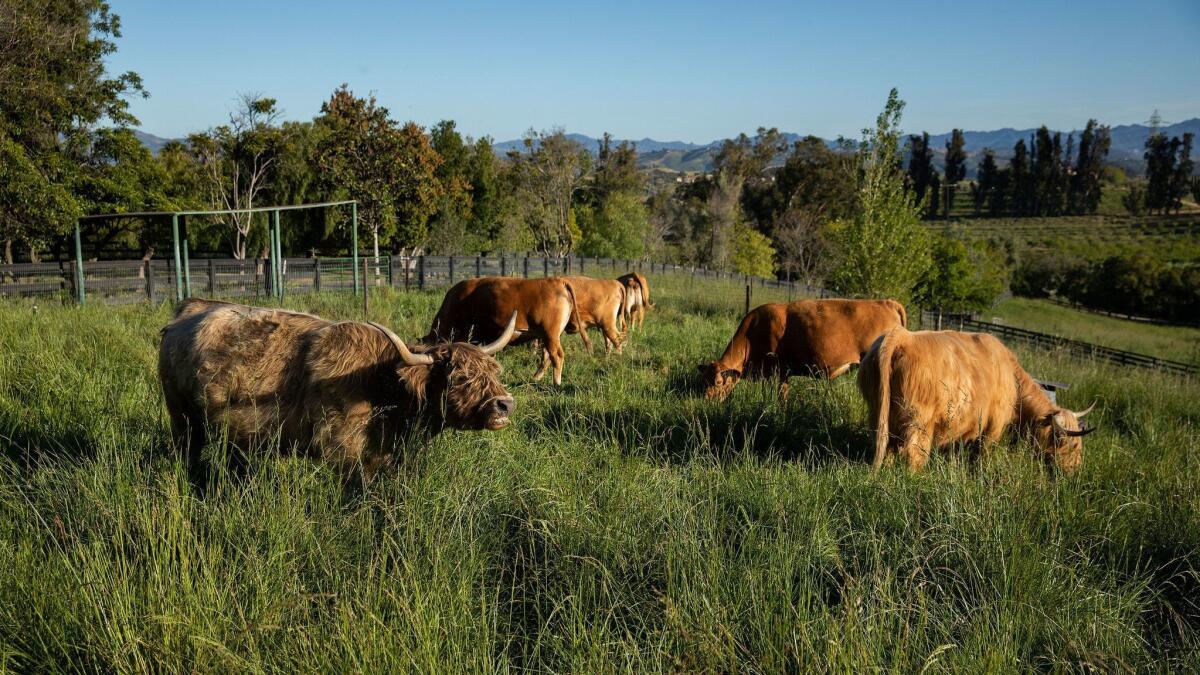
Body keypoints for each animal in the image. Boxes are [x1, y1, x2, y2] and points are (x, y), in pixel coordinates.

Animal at [159, 295, 516, 478]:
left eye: (494, 371)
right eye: (459, 376)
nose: (505, 404)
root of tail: (193, 307)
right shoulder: (343, 454)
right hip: (183, 420)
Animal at [427, 276, 585, 384]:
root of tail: (557, 280)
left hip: (550, 334)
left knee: (556, 356)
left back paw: (556, 383)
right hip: (548, 336)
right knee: (547, 356)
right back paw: (535, 378)